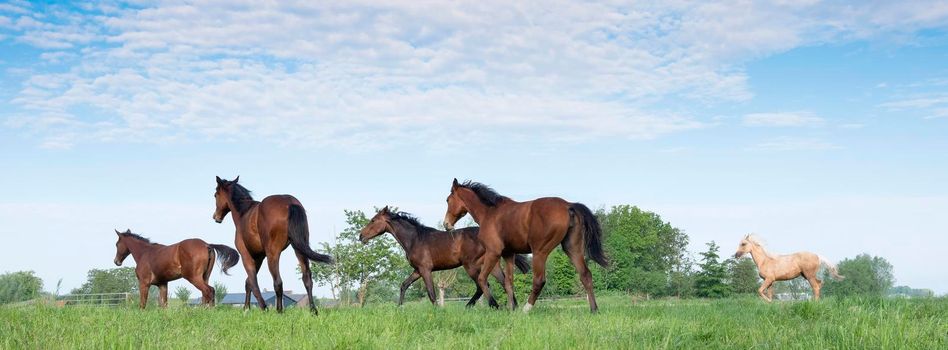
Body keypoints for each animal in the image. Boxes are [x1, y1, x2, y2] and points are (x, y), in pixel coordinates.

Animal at [212, 176, 334, 314]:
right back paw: (313, 310)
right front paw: (246, 308)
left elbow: (253, 282)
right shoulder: (259, 257)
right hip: (299, 250)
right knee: (307, 279)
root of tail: (290, 203)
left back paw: (279, 311)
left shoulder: (246, 255)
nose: (216, 217)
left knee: (278, 282)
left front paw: (260, 307)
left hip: (273, 254)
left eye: (216, 195)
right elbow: (248, 282)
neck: (244, 213)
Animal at [360, 206, 528, 308]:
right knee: (504, 282)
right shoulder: (417, 270)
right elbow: (404, 285)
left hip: (471, 266)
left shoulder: (425, 269)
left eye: (373, 220)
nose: (361, 236)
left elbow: (431, 293)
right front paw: (399, 307)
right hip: (492, 265)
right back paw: (513, 307)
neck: (415, 239)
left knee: (483, 285)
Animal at [442, 179, 608, 314]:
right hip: (572, 249)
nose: (446, 224)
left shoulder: (493, 252)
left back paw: (526, 309)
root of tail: (568, 205)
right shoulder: (508, 254)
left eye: (448, 200)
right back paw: (594, 310)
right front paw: (511, 308)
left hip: (540, 252)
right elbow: (508, 282)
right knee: (585, 275)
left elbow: (483, 279)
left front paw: (496, 305)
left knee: (539, 280)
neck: (489, 213)